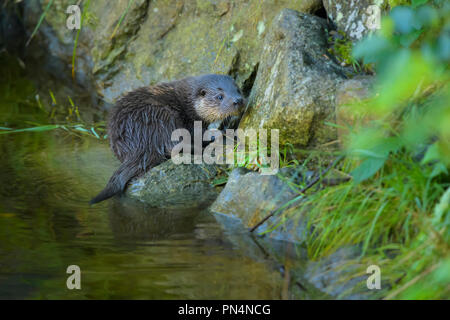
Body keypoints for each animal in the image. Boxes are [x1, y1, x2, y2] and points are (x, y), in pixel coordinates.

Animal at [89, 74, 244, 204]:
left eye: (238, 90)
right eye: (220, 96)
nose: (238, 100)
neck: (188, 103)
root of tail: (138, 141)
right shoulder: (191, 120)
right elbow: (197, 134)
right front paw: (218, 133)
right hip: (162, 115)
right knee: (174, 146)